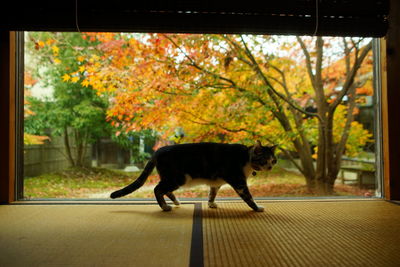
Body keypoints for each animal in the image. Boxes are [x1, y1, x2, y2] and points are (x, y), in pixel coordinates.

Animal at [111, 141, 276, 213]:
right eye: (264, 160)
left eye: (273, 160)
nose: (270, 167)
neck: (246, 158)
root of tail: (158, 150)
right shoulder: (239, 182)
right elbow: (249, 197)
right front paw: (257, 208)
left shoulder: (216, 183)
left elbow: (212, 193)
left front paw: (211, 204)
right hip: (178, 178)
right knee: (158, 189)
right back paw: (165, 207)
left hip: (172, 178)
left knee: (165, 190)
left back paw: (176, 202)